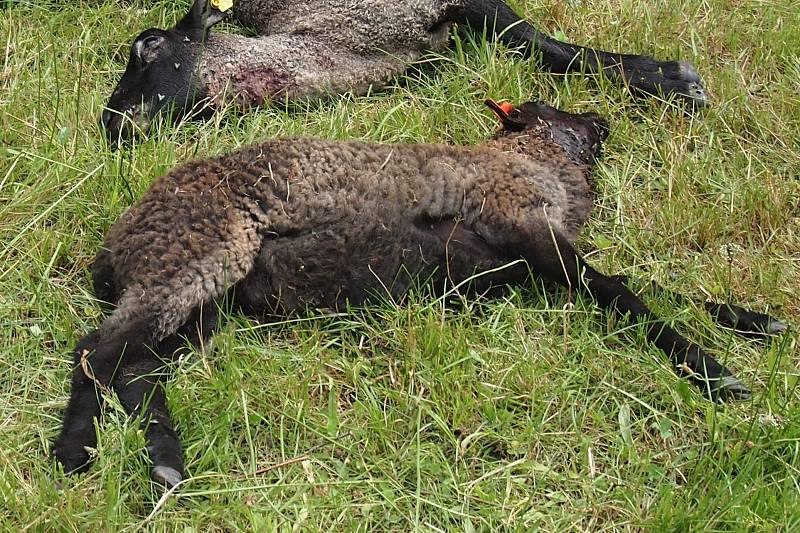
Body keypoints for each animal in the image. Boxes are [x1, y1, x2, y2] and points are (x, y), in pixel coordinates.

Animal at [53, 98, 784, 486]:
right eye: (551, 111)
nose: (602, 118)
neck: (537, 166)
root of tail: (119, 241)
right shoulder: (528, 227)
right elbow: (620, 292)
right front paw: (712, 371)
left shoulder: (534, 255)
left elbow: (636, 281)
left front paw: (751, 320)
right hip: (196, 258)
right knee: (98, 349)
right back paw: (78, 451)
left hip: (204, 305)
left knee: (136, 364)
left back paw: (165, 462)